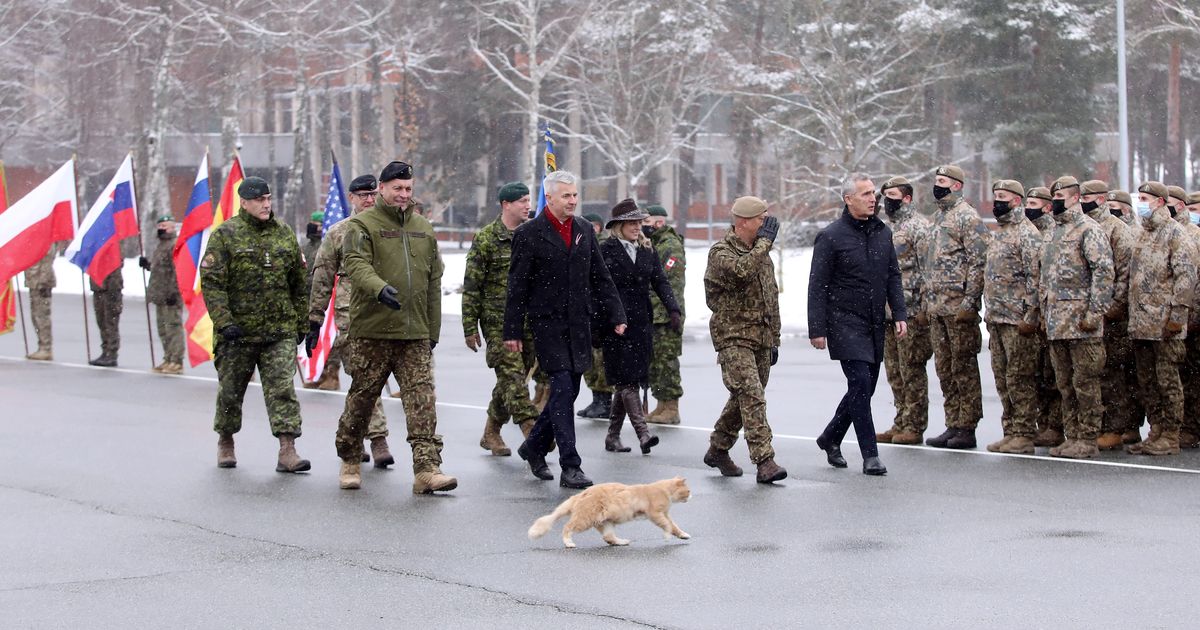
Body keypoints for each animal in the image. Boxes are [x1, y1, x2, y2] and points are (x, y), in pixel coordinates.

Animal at [528, 477, 691, 544]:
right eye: (688, 491)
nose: (691, 496)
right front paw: (667, 535)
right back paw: (568, 542)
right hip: (585, 519)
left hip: (605, 522)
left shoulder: (665, 514)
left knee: (608, 537)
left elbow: (675, 526)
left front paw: (683, 535)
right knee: (567, 527)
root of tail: (581, 494)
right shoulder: (655, 514)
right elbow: (667, 526)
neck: (664, 490)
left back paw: (621, 542)